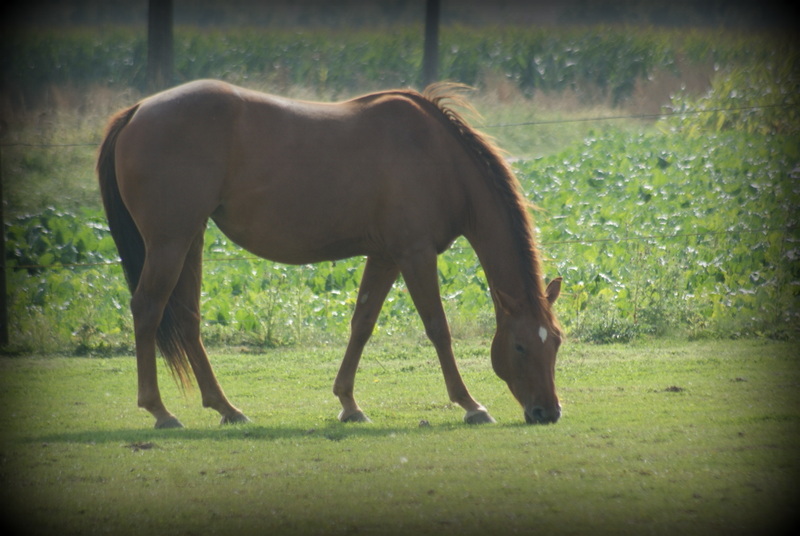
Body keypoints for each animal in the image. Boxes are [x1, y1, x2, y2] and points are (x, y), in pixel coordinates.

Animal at [95, 79, 564, 430]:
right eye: (520, 346)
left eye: (556, 341)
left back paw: (226, 408)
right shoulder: (415, 254)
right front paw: (470, 404)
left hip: (189, 240)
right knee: (147, 309)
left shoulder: (386, 256)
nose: (548, 412)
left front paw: (349, 404)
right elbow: (437, 329)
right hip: (169, 242)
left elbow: (362, 324)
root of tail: (137, 110)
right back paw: (160, 411)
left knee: (188, 319)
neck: (436, 155)